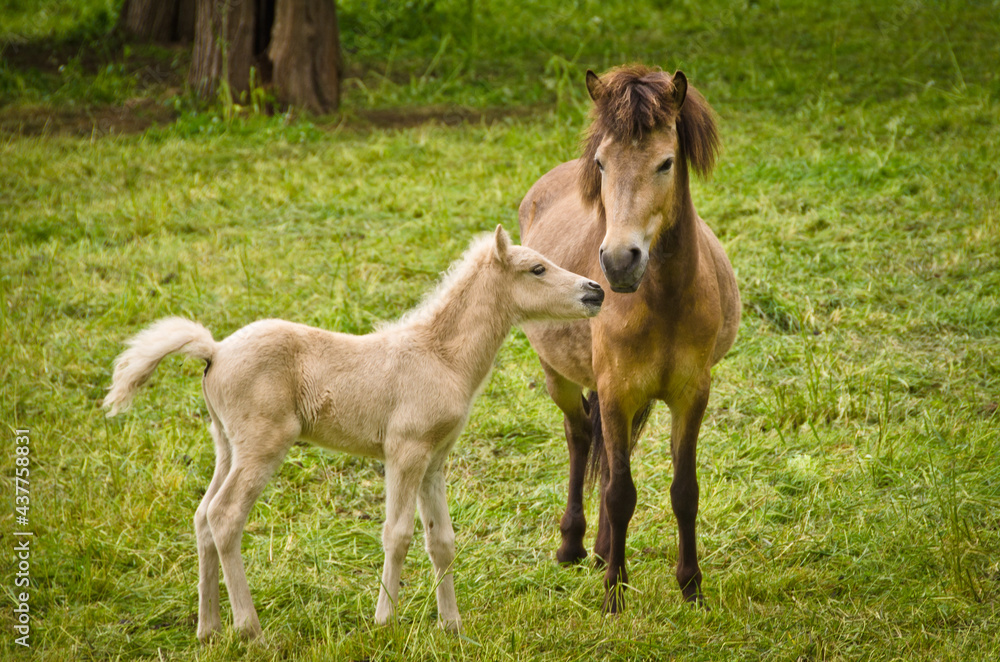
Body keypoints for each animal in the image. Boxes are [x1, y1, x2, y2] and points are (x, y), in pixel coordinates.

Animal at [103, 226, 605, 640]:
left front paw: (453, 627)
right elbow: (397, 533)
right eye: (537, 268)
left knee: (202, 517)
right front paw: (385, 621)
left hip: (226, 444)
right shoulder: (405, 452)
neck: (440, 355)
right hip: (262, 446)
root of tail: (215, 351)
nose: (596, 291)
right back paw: (251, 631)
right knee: (225, 516)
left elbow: (441, 541)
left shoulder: (435, 460)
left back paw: (209, 629)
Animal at [518, 65, 740, 612]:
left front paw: (691, 587)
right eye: (601, 162)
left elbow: (684, 491)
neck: (664, 302)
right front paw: (614, 597)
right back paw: (574, 546)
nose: (619, 261)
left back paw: (600, 551)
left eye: (665, 162)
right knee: (580, 438)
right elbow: (621, 493)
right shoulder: (618, 390)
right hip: (558, 376)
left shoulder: (690, 394)